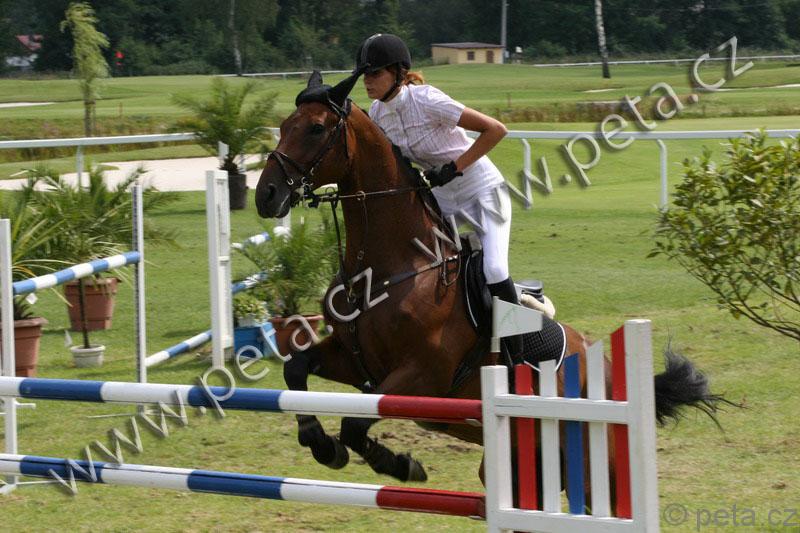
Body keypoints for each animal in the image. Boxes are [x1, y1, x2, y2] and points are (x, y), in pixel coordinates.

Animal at [255, 71, 723, 508]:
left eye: (316, 129)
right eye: (284, 125)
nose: (266, 195)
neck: (392, 268)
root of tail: (612, 375)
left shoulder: (424, 377)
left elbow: (355, 424)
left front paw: (400, 464)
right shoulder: (354, 361)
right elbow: (295, 369)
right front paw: (320, 443)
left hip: (594, 470)